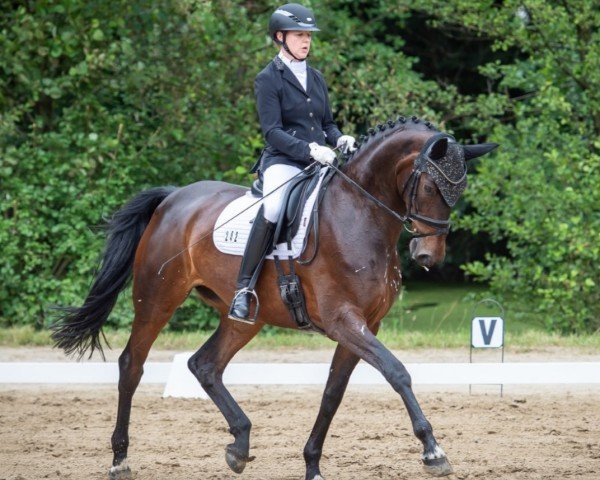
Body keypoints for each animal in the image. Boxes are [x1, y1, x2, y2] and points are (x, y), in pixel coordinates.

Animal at [52, 116, 496, 480]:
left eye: (459, 190)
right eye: (430, 185)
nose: (428, 257)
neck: (359, 213)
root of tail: (173, 198)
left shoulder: (365, 324)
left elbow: (333, 393)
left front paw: (312, 465)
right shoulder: (343, 319)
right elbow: (397, 371)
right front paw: (433, 451)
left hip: (245, 315)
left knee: (205, 365)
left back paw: (239, 445)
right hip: (157, 297)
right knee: (132, 364)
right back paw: (120, 460)